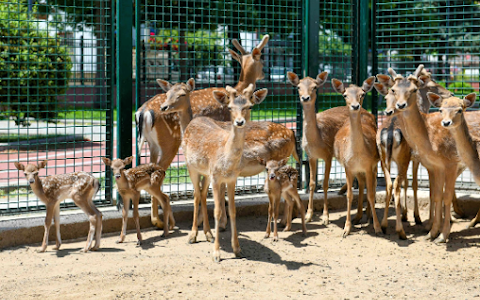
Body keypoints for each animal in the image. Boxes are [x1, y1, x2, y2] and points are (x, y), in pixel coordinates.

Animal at [135, 35, 270, 230]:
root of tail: (144, 111)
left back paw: (156, 218)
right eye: (261, 60)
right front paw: (220, 220)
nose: (264, 73)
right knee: (158, 171)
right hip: (170, 142)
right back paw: (160, 221)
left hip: (151, 144)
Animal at [182, 83, 268, 262]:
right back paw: (192, 236)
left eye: (249, 106)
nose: (240, 122)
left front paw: (237, 249)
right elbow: (217, 211)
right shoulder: (216, 177)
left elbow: (232, 211)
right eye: (230, 107)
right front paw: (216, 254)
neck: (227, 163)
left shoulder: (232, 179)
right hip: (191, 166)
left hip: (206, 173)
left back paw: (208, 234)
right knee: (195, 195)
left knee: (202, 193)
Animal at [284, 71, 382, 225]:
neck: (316, 141)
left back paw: (368, 214)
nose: (305, 98)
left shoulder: (328, 155)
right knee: (361, 179)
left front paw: (325, 217)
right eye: (298, 86)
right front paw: (308, 215)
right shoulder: (311, 156)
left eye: (315, 87)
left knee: (373, 177)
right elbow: (312, 183)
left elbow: (324, 184)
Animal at [332, 77, 384, 237]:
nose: (355, 106)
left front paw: (378, 228)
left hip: (374, 165)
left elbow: (372, 194)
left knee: (372, 185)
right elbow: (349, 195)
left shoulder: (368, 166)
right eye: (345, 95)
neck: (357, 155)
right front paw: (346, 229)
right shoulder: (348, 167)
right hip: (357, 170)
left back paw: (368, 215)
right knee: (361, 184)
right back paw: (358, 216)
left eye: (362, 94)